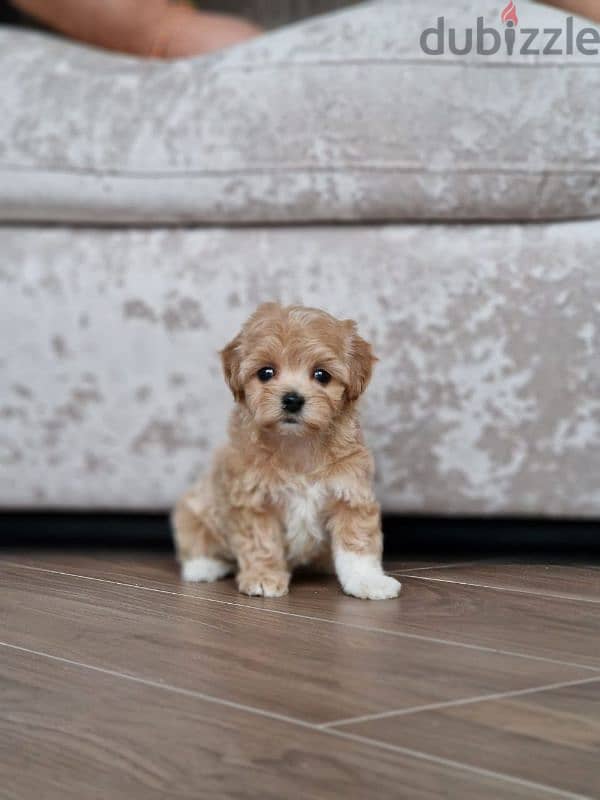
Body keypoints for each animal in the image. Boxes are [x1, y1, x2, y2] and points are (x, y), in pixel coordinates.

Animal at [171, 302, 400, 600]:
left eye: (322, 375)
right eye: (266, 373)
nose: (292, 399)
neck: (298, 444)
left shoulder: (350, 493)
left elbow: (358, 544)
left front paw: (368, 581)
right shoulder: (253, 501)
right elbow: (261, 542)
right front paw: (263, 577)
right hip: (192, 511)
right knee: (199, 541)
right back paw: (203, 567)